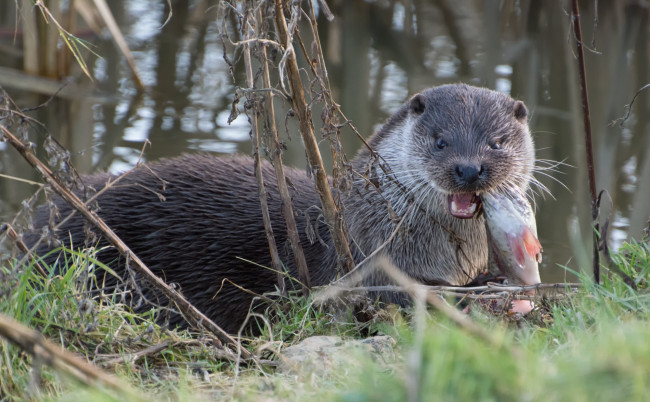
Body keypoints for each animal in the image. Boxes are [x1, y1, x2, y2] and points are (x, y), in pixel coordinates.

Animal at [26, 85, 532, 332]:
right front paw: (481, 287)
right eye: (441, 141)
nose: (469, 169)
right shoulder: (366, 260)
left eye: (496, 141)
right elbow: (405, 294)